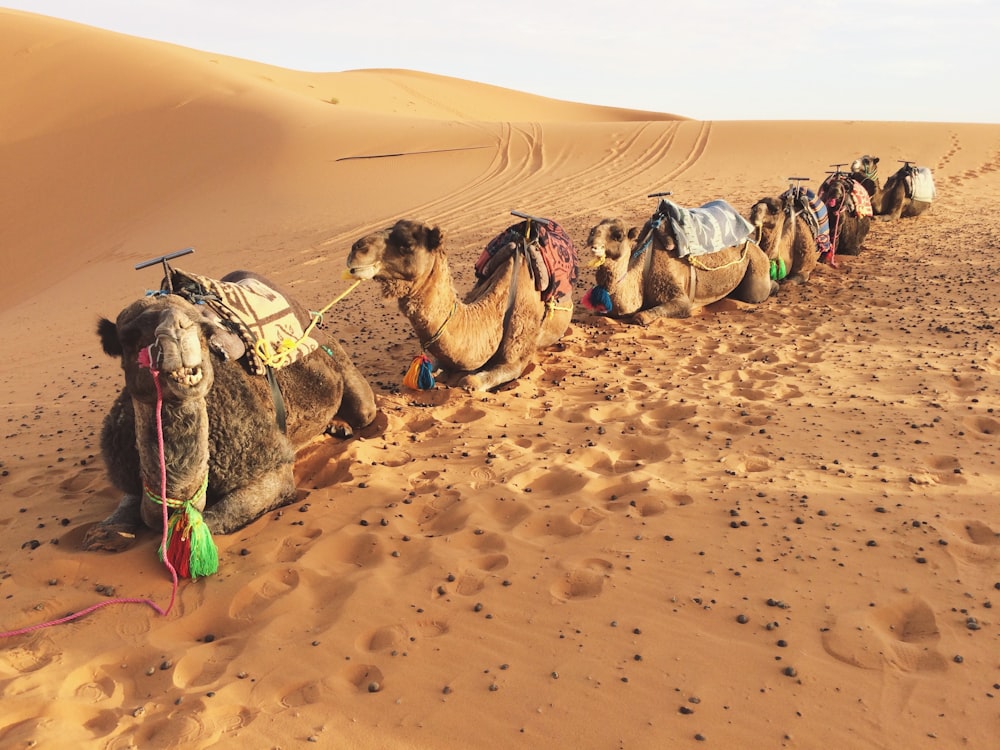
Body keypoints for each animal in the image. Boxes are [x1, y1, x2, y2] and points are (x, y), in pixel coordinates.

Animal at [82, 268, 376, 564]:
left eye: (203, 328)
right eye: (129, 337)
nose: (176, 330)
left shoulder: (272, 469)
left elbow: (206, 522)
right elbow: (124, 512)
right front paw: (105, 533)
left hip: (341, 365)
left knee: (364, 409)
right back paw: (337, 427)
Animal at [580, 197, 772, 324]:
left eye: (618, 235)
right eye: (593, 230)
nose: (592, 242)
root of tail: (752, 241)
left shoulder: (679, 295)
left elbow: (640, 316)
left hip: (756, 262)